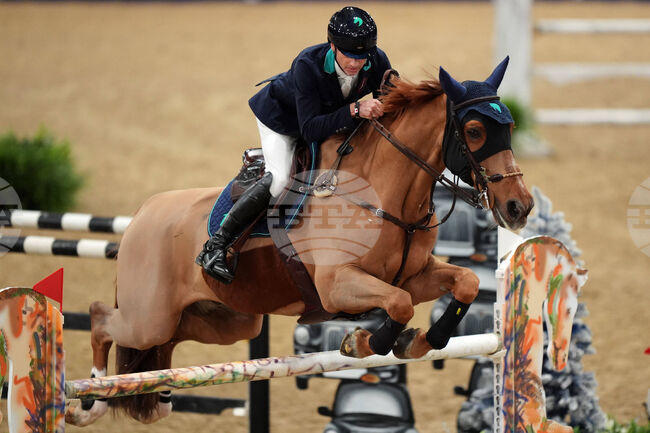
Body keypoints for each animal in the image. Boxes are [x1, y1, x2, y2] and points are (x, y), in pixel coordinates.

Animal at [65, 57, 534, 426]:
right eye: (474, 131)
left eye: (509, 127)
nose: (519, 207)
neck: (385, 197)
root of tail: (143, 214)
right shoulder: (338, 284)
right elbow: (398, 305)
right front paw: (363, 342)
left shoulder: (413, 275)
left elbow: (464, 284)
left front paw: (416, 342)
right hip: (150, 316)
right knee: (102, 318)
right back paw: (89, 401)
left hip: (225, 321)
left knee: (164, 342)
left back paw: (158, 396)